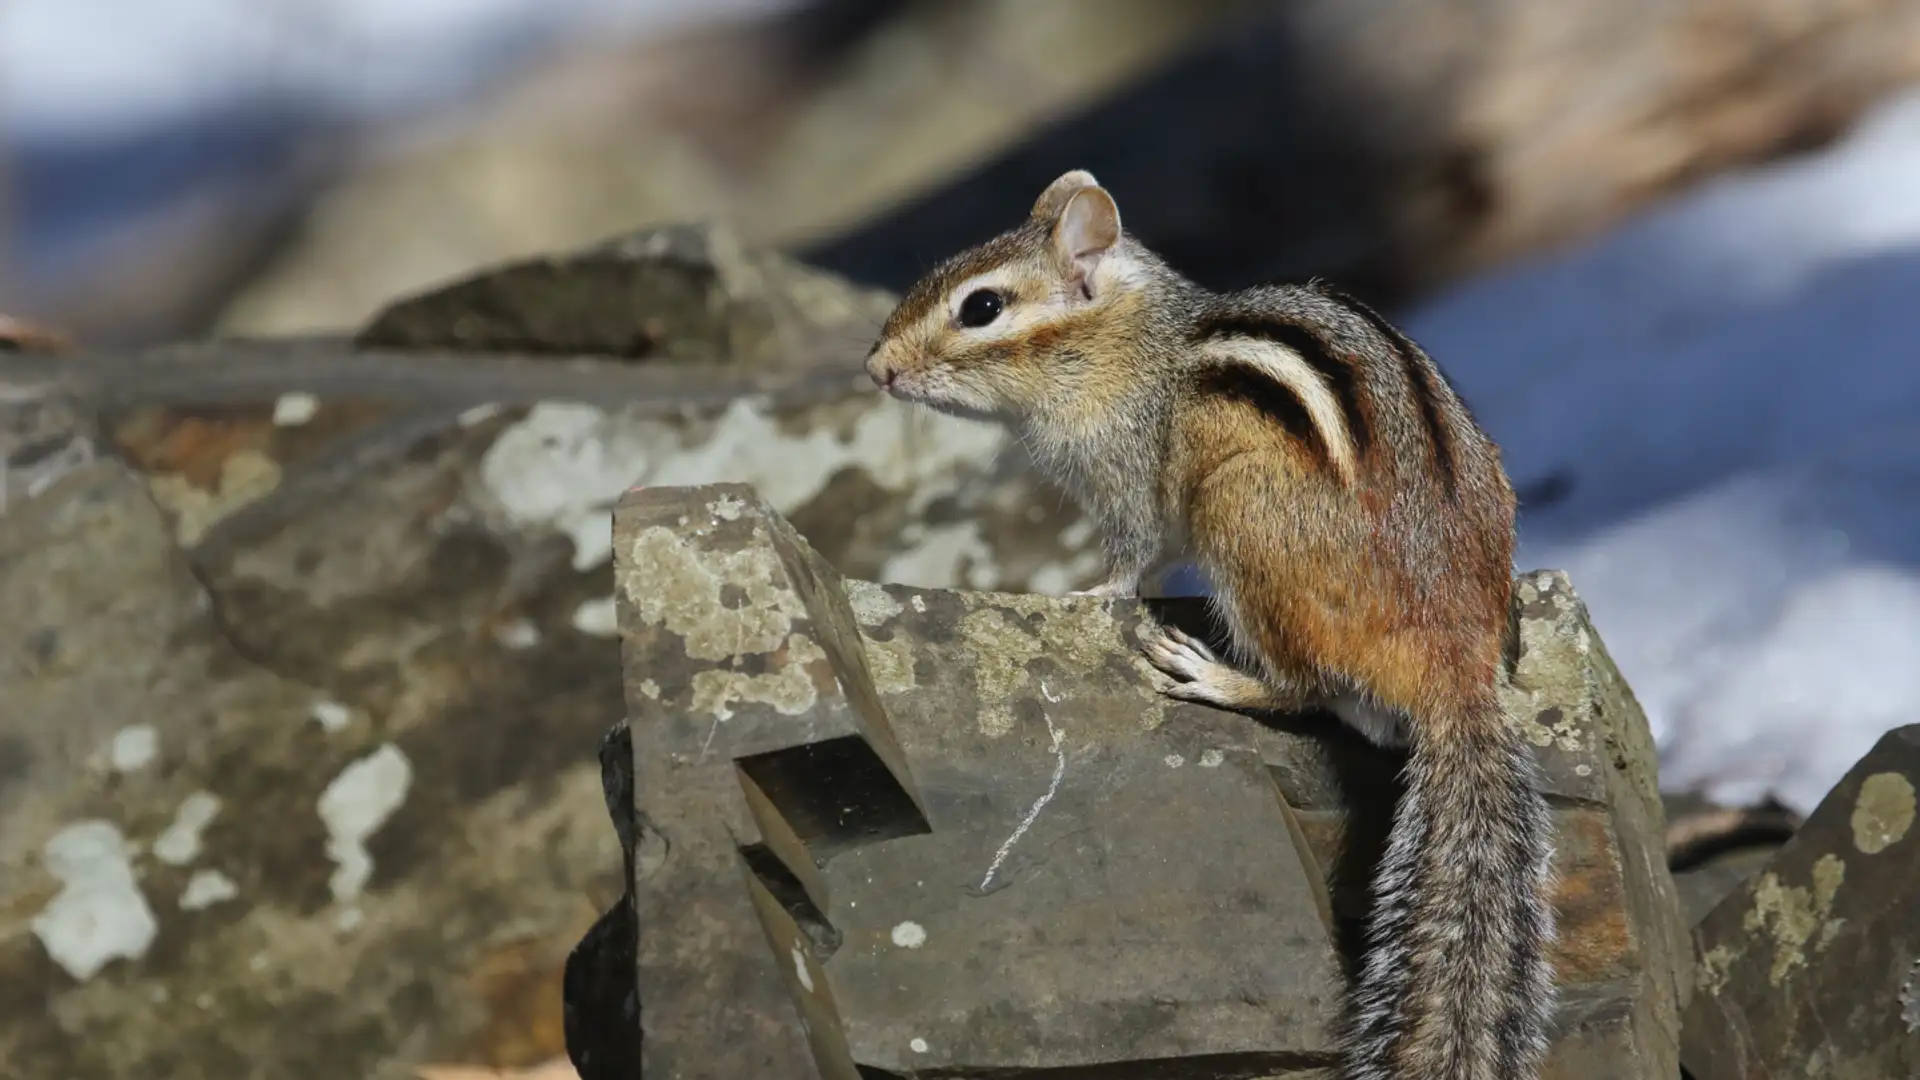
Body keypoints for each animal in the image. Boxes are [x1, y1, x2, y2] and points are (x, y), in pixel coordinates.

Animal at [865, 170, 1556, 1080]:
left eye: (981, 307)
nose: (875, 367)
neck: (1132, 343)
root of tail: (1453, 663)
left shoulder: (1127, 474)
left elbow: (1134, 558)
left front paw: (1087, 594)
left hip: (1240, 523)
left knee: (1306, 690)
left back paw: (1212, 674)